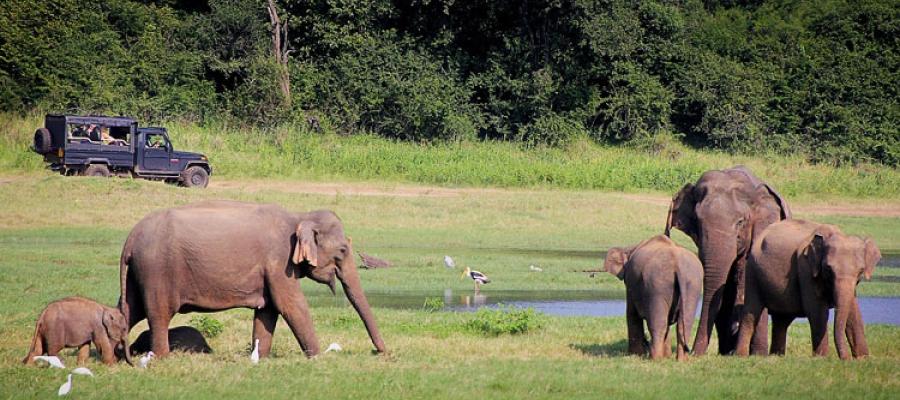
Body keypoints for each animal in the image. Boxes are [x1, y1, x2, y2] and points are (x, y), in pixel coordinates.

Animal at [118, 200, 385, 358]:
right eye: (342, 250)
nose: (381, 352)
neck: (299, 216)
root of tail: (130, 238)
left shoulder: (271, 270)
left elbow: (268, 311)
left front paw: (261, 358)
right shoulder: (279, 261)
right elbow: (291, 305)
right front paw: (317, 358)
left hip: (139, 273)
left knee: (128, 310)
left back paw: (117, 356)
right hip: (158, 271)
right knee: (159, 313)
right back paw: (161, 358)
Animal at [736, 220, 880, 359]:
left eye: (861, 271)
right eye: (828, 268)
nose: (845, 358)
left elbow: (854, 312)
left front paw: (863, 358)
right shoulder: (806, 269)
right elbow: (817, 311)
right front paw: (821, 358)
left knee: (782, 320)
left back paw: (777, 356)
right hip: (752, 273)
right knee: (751, 313)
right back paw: (741, 356)